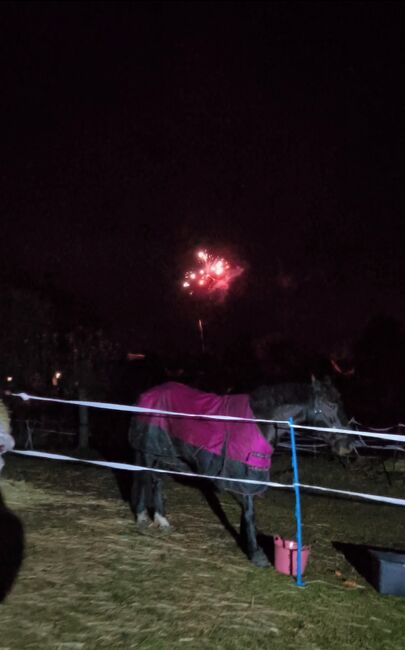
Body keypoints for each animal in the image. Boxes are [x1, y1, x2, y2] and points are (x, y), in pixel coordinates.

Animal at [128, 374, 352, 568]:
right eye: (330, 404)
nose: (348, 445)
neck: (260, 421)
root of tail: (148, 394)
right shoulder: (245, 475)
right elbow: (250, 512)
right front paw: (256, 554)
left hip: (165, 453)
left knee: (157, 480)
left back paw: (162, 520)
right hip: (147, 449)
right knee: (143, 477)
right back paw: (142, 517)